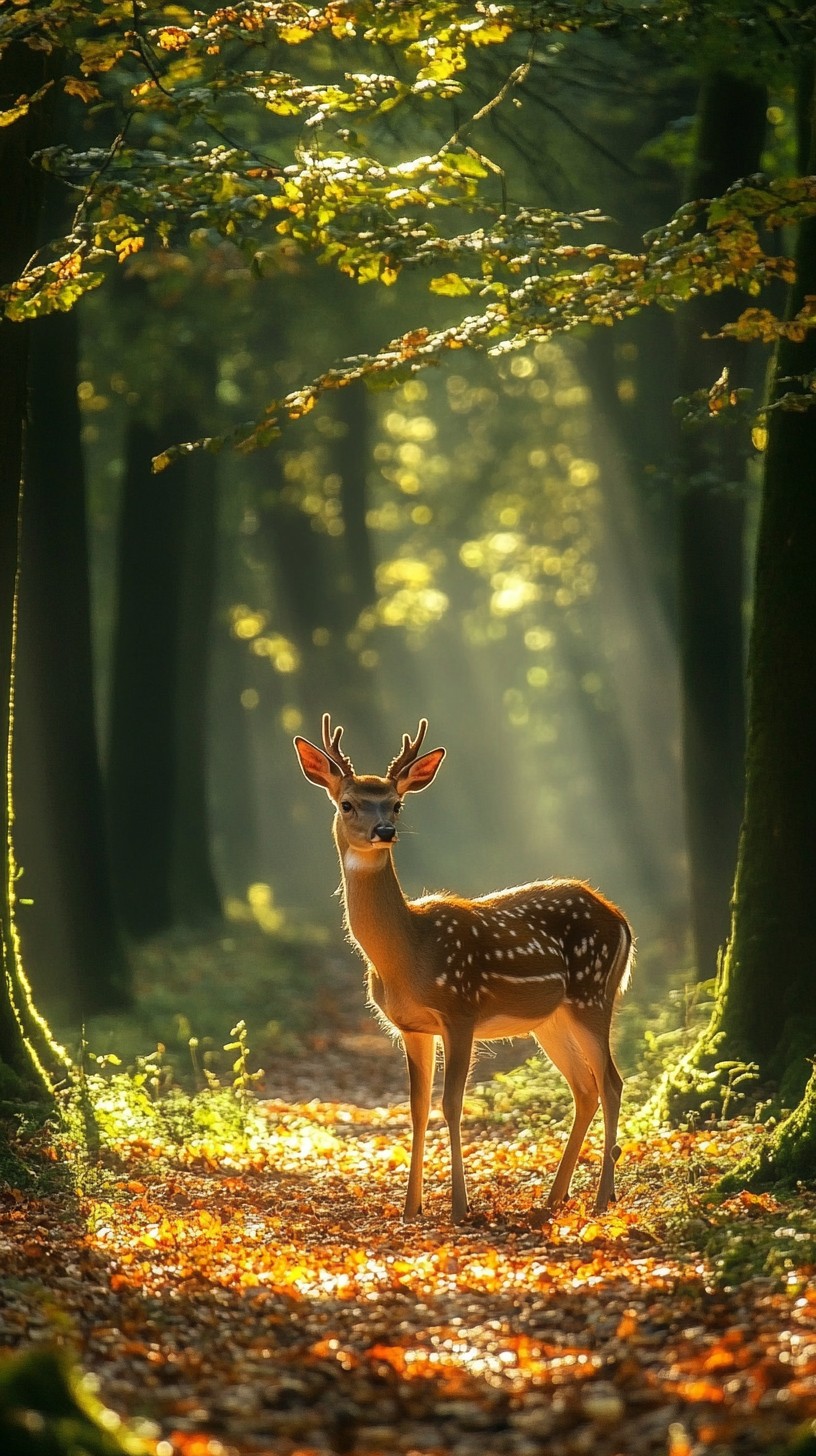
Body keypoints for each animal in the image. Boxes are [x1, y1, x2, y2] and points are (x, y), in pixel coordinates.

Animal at [294, 715, 634, 1225]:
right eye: (347, 803)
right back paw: (553, 1199)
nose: (384, 830)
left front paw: (458, 1205)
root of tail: (621, 919)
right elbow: (417, 1107)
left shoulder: (460, 1010)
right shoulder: (411, 1026)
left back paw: (600, 1198)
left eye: (397, 803)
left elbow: (452, 1104)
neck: (408, 954)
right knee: (584, 1087)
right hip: (551, 1019)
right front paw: (410, 1207)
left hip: (593, 993)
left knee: (611, 1082)